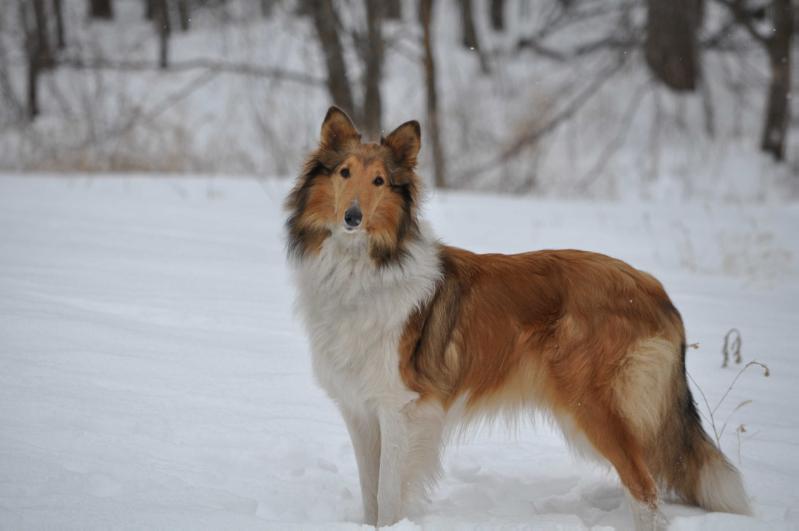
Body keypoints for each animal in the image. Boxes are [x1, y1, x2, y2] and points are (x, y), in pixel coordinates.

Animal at [284, 106, 752, 528]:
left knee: (646, 490)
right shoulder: (361, 411)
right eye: (344, 173)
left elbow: (387, 496)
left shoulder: (400, 407)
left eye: (379, 181)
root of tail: (654, 288)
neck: (364, 266)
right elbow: (370, 492)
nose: (353, 217)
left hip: (594, 405)